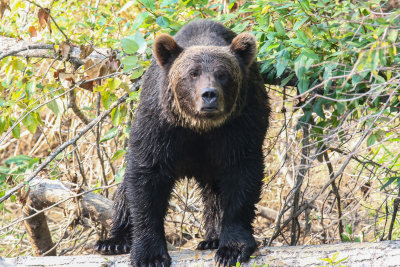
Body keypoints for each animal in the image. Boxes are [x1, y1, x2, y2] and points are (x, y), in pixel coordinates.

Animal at [94, 20, 268, 267]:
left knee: (215, 193)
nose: (209, 95)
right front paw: (150, 254)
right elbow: (147, 179)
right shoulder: (160, 124)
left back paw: (212, 238)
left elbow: (241, 175)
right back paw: (113, 241)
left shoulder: (241, 122)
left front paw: (231, 249)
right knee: (124, 190)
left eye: (222, 74)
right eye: (192, 73)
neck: (200, 127)